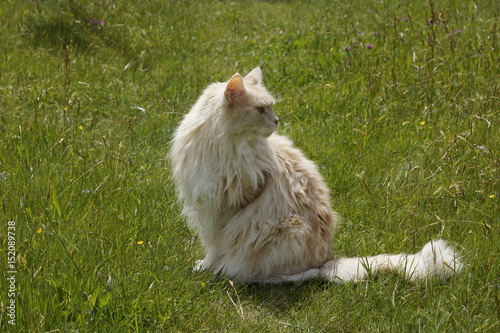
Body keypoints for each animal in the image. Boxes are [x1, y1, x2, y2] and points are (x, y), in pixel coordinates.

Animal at [170, 67, 462, 282]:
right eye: (261, 110)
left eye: (271, 108)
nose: (276, 121)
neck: (224, 146)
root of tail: (326, 260)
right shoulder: (207, 207)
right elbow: (211, 247)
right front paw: (205, 267)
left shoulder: (224, 211)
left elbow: (215, 247)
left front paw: (207, 268)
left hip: (288, 229)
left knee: (293, 275)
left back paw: (237, 275)